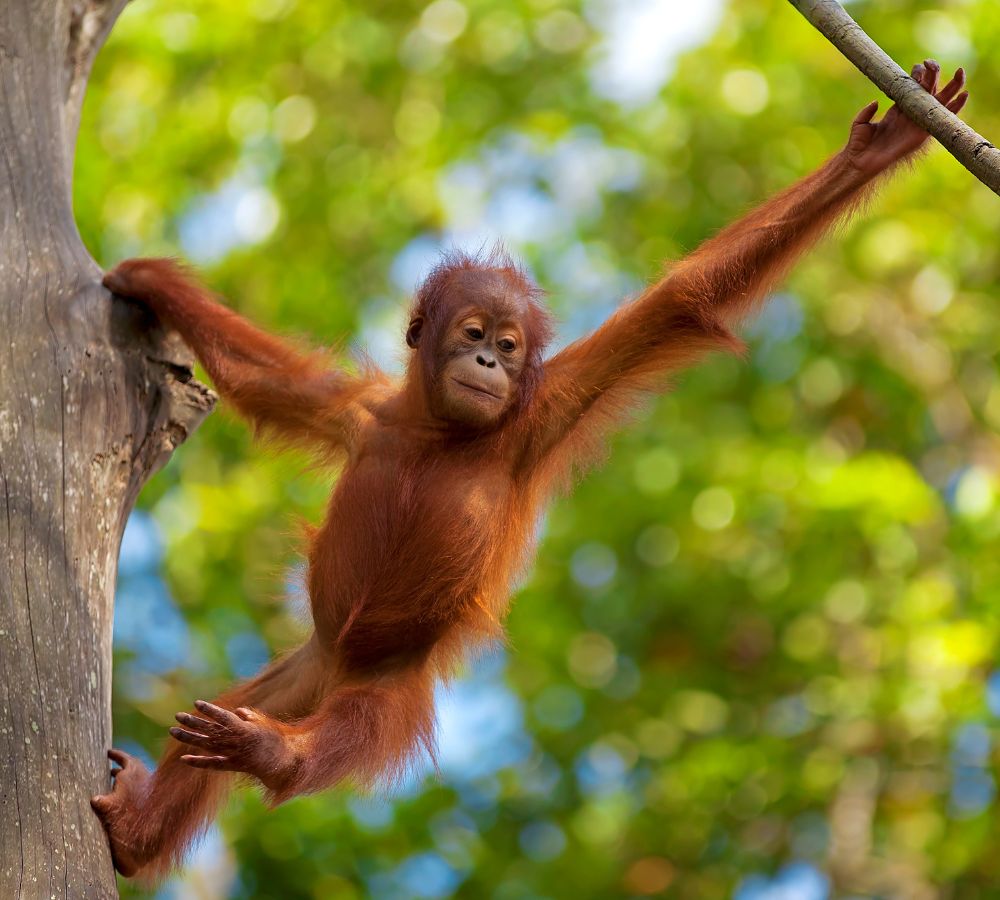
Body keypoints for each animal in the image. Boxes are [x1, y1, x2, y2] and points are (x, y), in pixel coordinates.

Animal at [91, 60, 968, 880]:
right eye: (474, 331)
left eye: (510, 348)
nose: (487, 361)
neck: (441, 433)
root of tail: (335, 671)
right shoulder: (360, 414)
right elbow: (267, 380)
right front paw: (147, 282)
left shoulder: (546, 409)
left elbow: (683, 300)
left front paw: (875, 150)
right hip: (299, 674)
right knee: (224, 717)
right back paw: (140, 832)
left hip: (392, 685)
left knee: (354, 729)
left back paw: (276, 758)